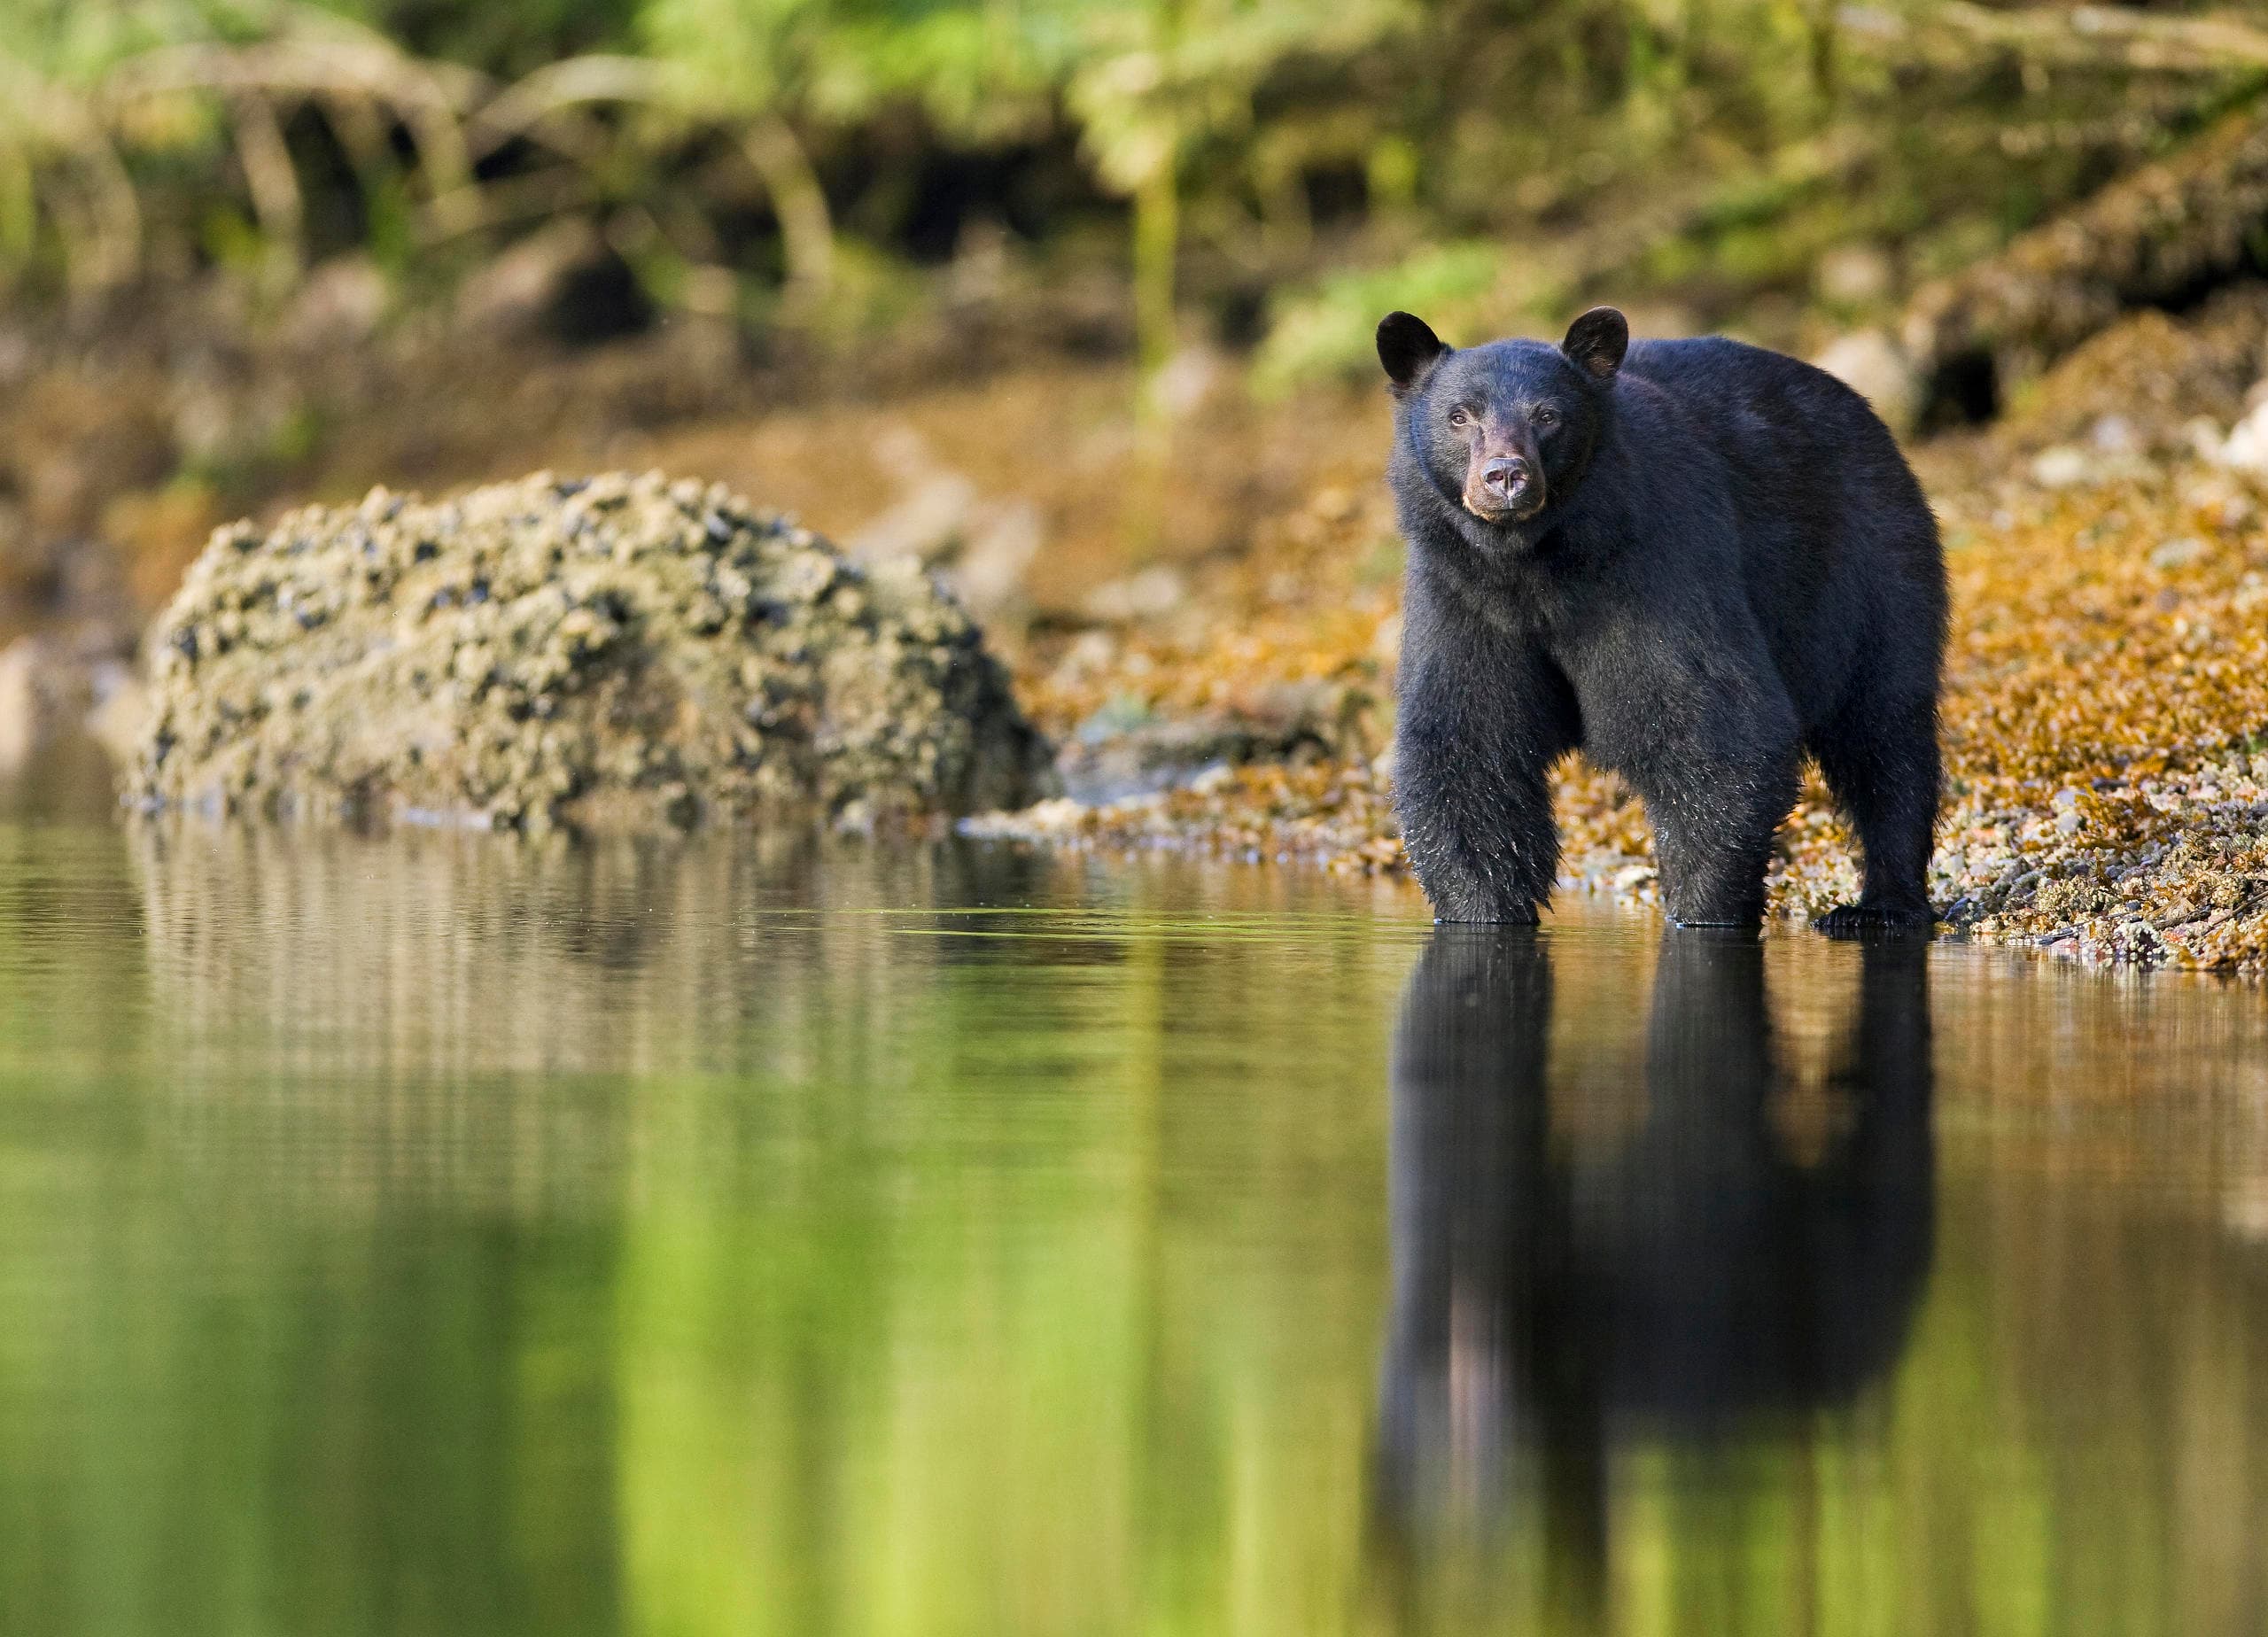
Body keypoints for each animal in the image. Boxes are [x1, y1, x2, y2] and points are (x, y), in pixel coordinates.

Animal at [1377, 305, 1947, 931]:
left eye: (1548, 416)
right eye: (1460, 416)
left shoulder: (1658, 563)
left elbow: (1712, 724)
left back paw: (1882, 906)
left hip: (1870, 568)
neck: (1536, 566)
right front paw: (1481, 911)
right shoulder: (1462, 597)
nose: (1505, 476)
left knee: (1885, 730)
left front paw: (1701, 909)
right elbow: (1468, 745)